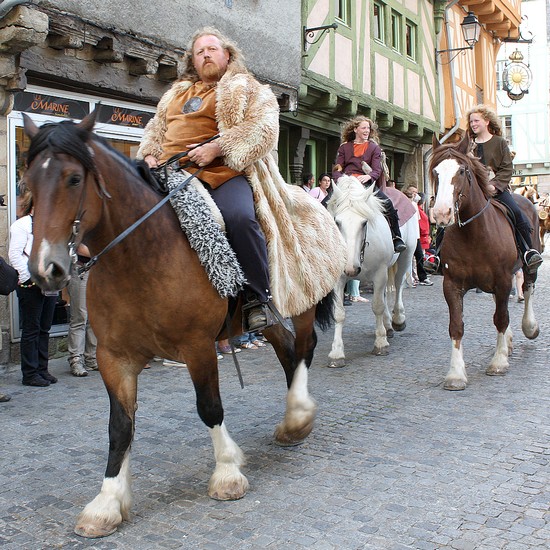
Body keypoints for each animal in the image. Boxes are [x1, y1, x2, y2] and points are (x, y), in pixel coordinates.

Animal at [21, 112, 338, 540]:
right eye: (28, 181)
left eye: (73, 178)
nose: (45, 269)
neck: (141, 253)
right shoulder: (114, 357)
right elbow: (120, 426)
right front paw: (107, 503)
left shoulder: (197, 347)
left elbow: (209, 407)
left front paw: (227, 472)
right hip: (267, 317)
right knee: (287, 349)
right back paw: (292, 422)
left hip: (302, 300)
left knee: (304, 347)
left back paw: (300, 413)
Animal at [432, 134, 544, 392]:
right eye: (435, 172)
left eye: (462, 170)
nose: (441, 214)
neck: (473, 233)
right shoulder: (452, 284)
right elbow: (456, 325)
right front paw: (455, 374)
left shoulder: (502, 279)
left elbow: (501, 317)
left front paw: (499, 362)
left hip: (527, 266)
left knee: (527, 289)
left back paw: (529, 327)